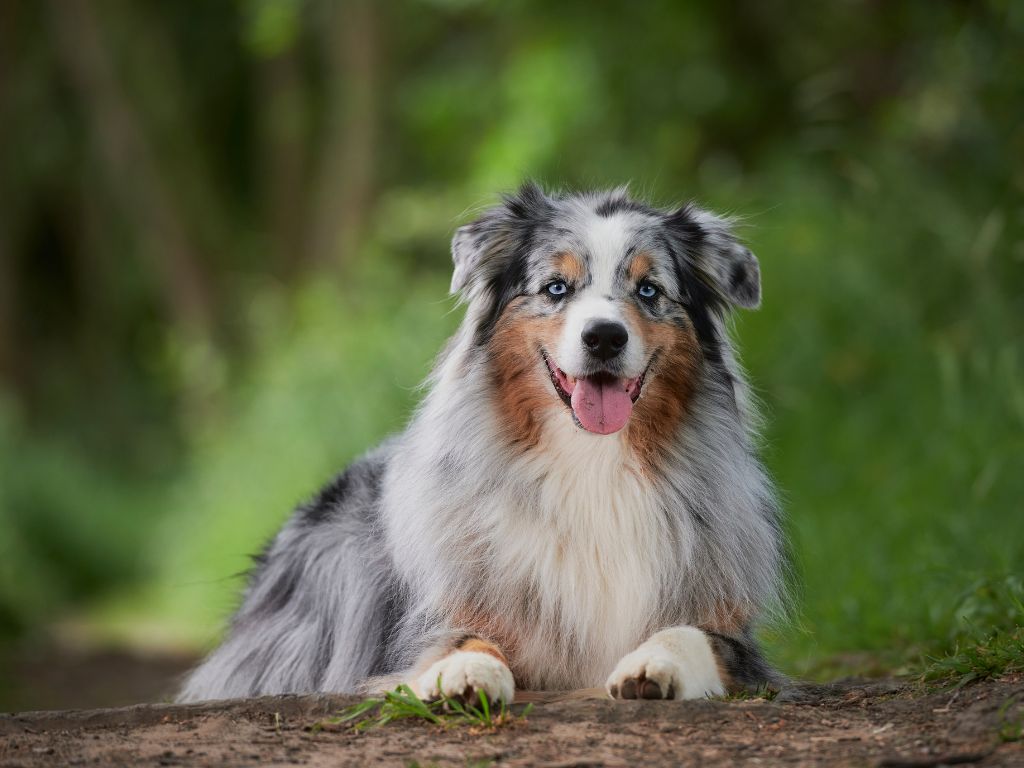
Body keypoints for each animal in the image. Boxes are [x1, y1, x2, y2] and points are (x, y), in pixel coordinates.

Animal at [178, 185, 782, 704]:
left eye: (649, 290)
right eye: (556, 288)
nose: (605, 337)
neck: (590, 461)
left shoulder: (735, 638)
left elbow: (691, 634)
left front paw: (652, 664)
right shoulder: (435, 619)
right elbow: (464, 638)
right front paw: (465, 673)